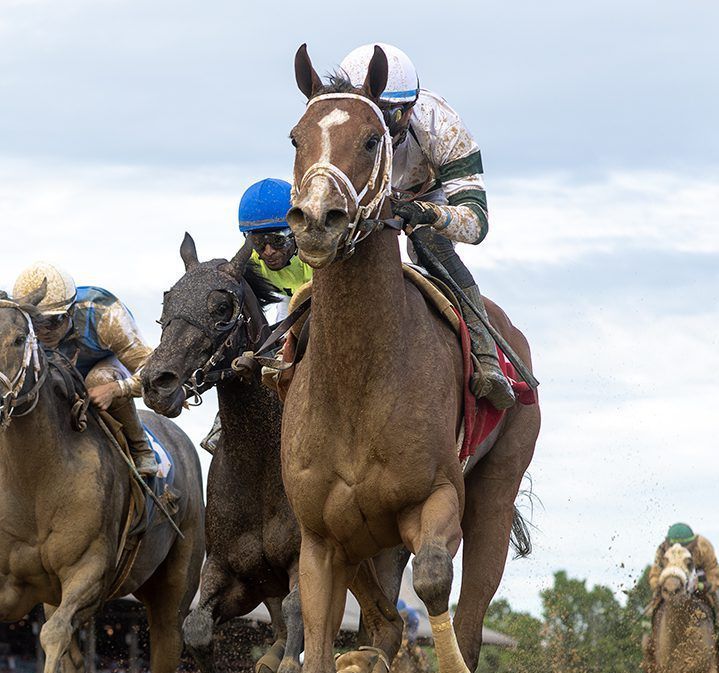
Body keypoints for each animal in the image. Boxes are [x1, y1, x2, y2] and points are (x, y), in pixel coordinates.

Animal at [0, 288, 204, 673]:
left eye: (19, 339)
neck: (36, 481)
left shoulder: (91, 571)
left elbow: (54, 633)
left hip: (175, 587)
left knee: (167, 636)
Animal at [141, 234, 305, 673]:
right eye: (167, 306)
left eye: (221, 309)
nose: (156, 382)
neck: (261, 464)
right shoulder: (233, 572)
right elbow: (196, 628)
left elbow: (300, 614)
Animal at [280, 44, 540, 673]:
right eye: (296, 137)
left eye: (371, 138)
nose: (315, 219)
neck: (359, 380)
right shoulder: (322, 538)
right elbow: (323, 630)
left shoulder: (437, 498)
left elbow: (431, 581)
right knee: (384, 616)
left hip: (495, 493)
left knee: (467, 613)